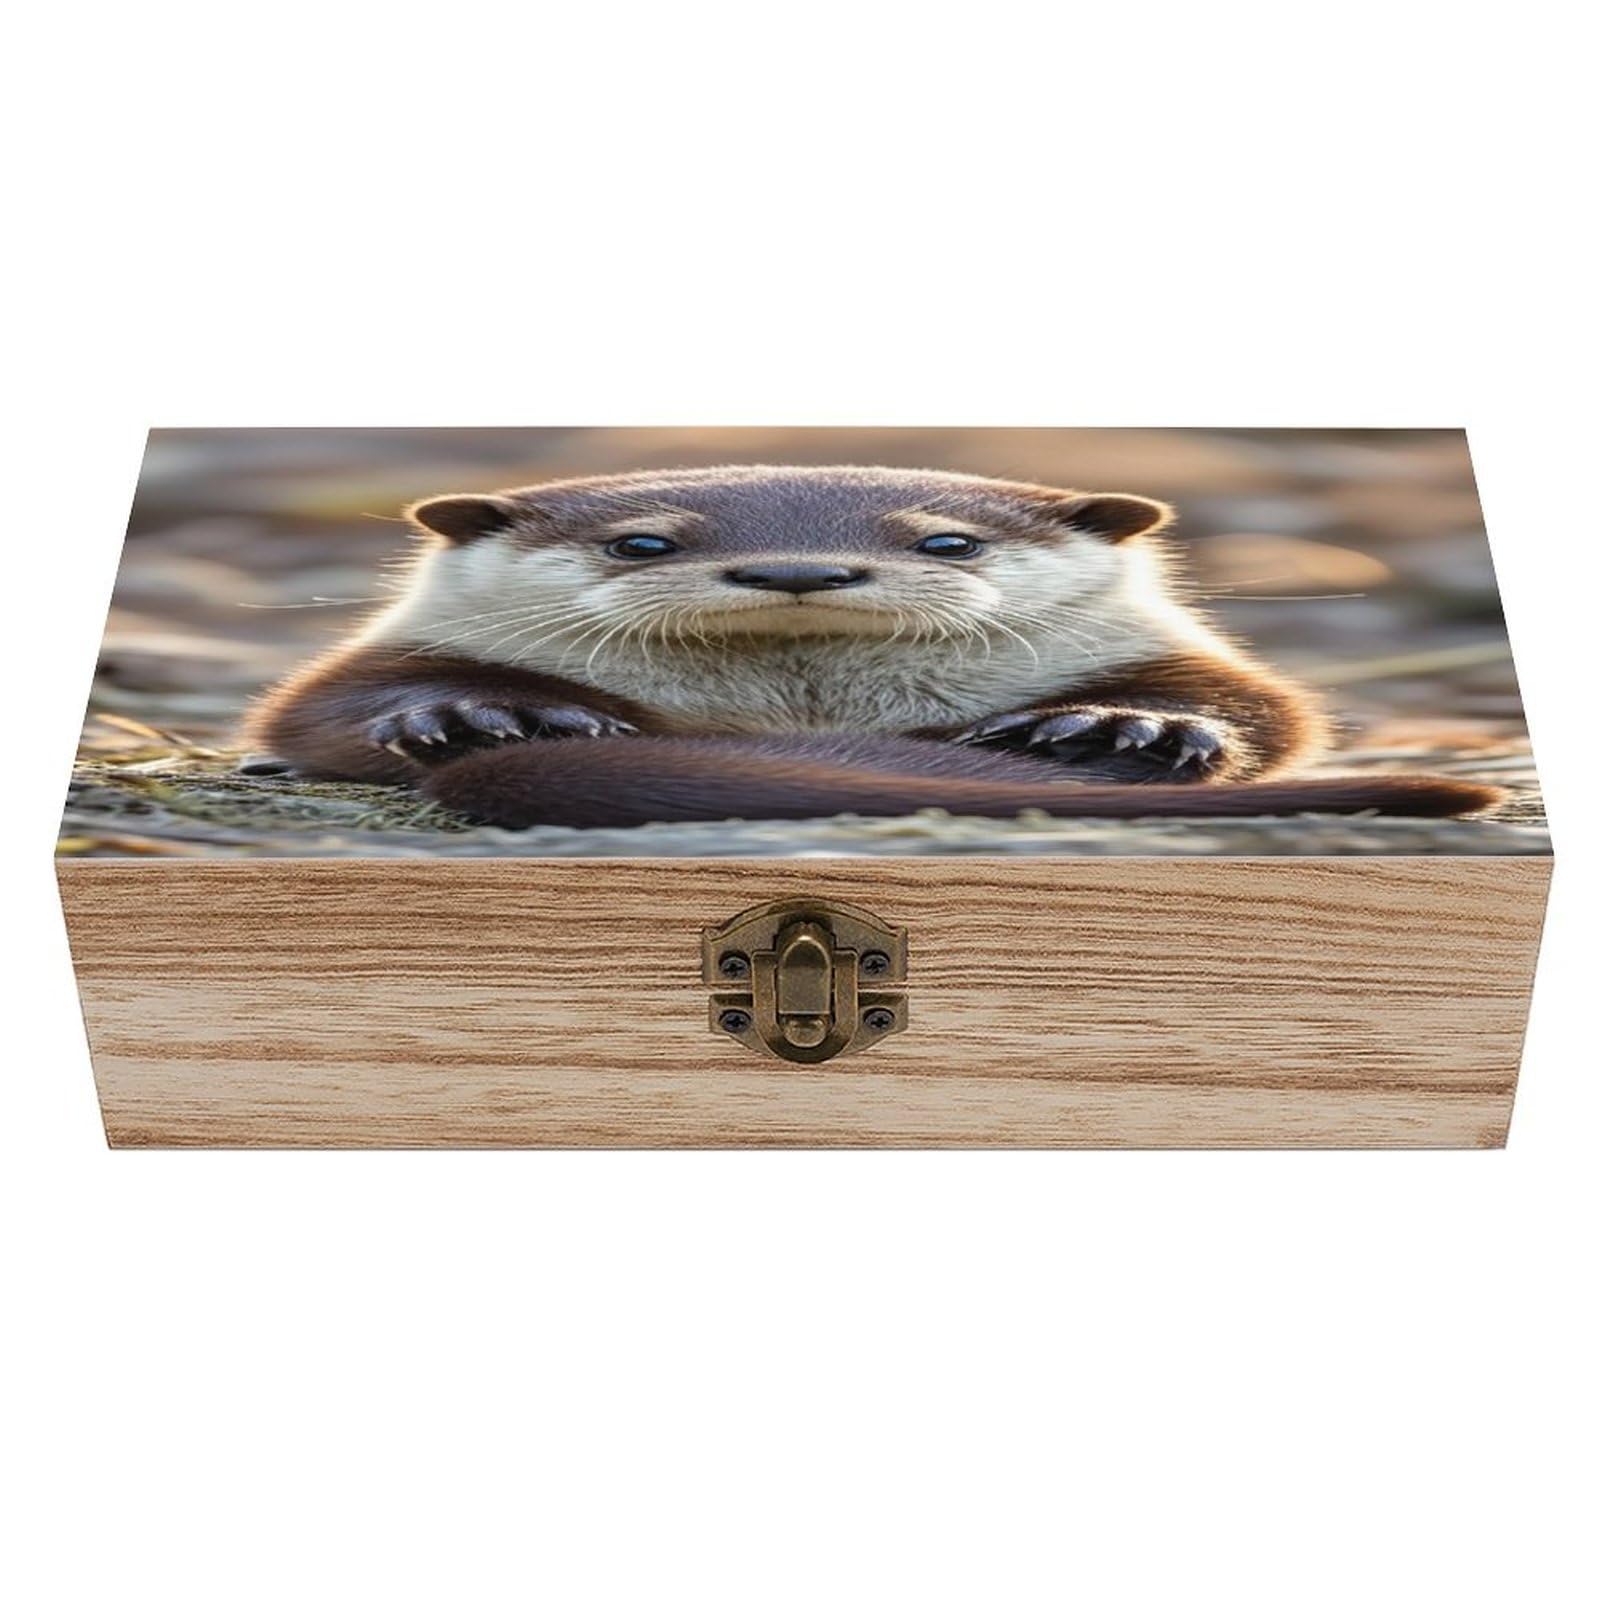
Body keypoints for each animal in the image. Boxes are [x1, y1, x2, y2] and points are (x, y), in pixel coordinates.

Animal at [244, 465, 1500, 826]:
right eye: (642, 540)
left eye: (945, 539)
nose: (797, 568)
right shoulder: (356, 668)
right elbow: (316, 711)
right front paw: (474, 712)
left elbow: (1261, 708)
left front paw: (1126, 722)